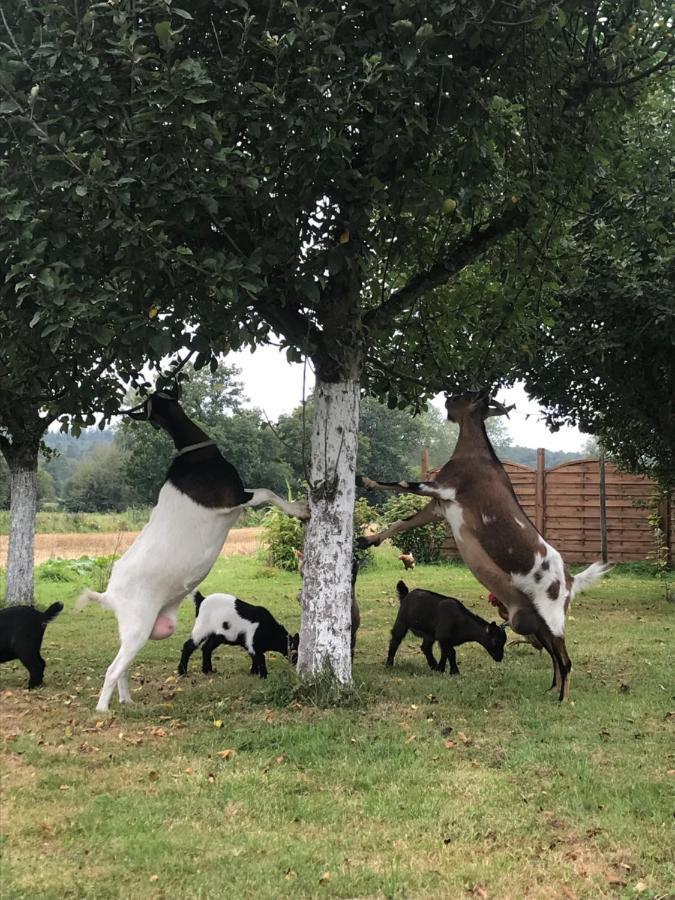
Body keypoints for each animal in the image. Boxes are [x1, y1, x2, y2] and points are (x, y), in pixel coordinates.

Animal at [78, 386, 308, 712]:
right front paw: (301, 509)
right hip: (138, 625)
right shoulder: (234, 496)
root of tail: (108, 596)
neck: (194, 456)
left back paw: (127, 700)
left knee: (122, 667)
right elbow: (267, 493)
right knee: (113, 669)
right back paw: (102, 710)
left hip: (137, 629)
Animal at [360, 390, 612, 700]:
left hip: (552, 617)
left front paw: (365, 480)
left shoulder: (440, 487)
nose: (446, 399)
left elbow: (401, 483)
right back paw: (551, 689)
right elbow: (401, 523)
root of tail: (570, 580)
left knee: (565, 660)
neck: (477, 454)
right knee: (554, 656)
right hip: (533, 621)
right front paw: (366, 540)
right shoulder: (438, 508)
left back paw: (562, 700)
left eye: (462, 395)